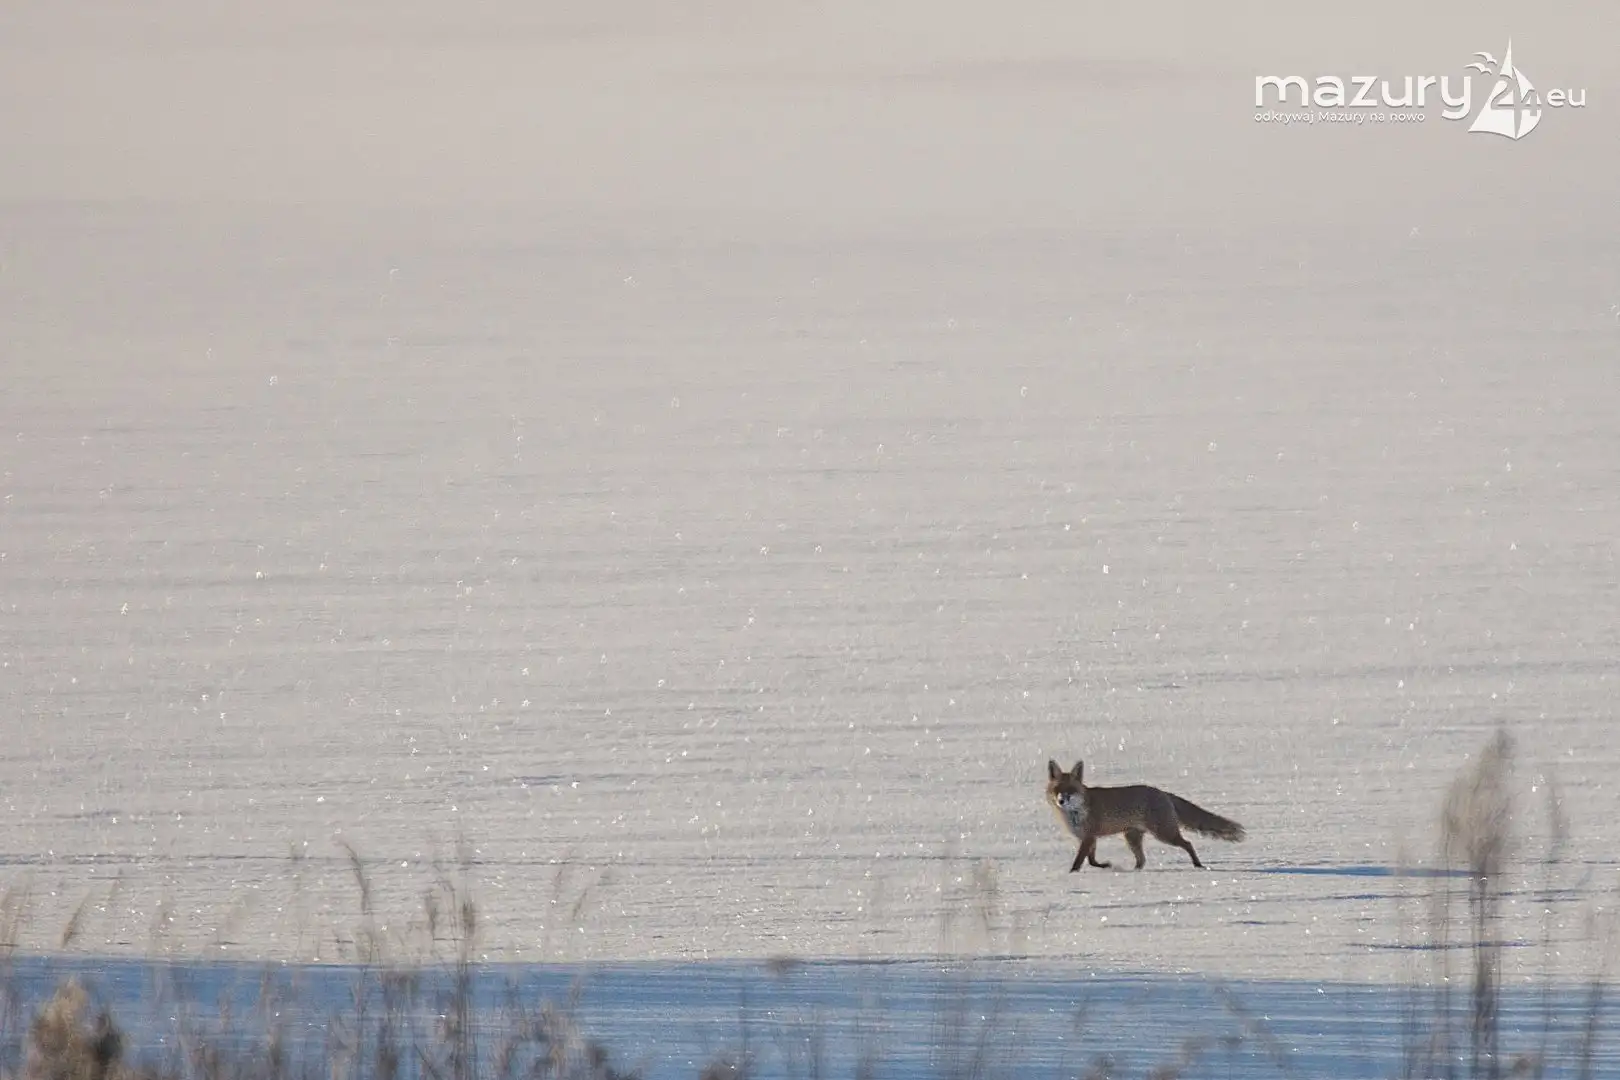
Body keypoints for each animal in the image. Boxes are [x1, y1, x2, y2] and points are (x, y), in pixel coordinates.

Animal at [1046, 759, 1246, 872]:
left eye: (1070, 790)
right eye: (1057, 790)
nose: (1061, 800)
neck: (1075, 813)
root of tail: (1163, 792)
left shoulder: (1088, 837)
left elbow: (1079, 861)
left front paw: (1072, 874)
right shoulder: (1089, 838)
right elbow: (1092, 860)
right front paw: (1106, 866)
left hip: (1164, 834)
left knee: (1188, 844)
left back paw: (1198, 865)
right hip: (1132, 838)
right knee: (1142, 860)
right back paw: (1136, 872)